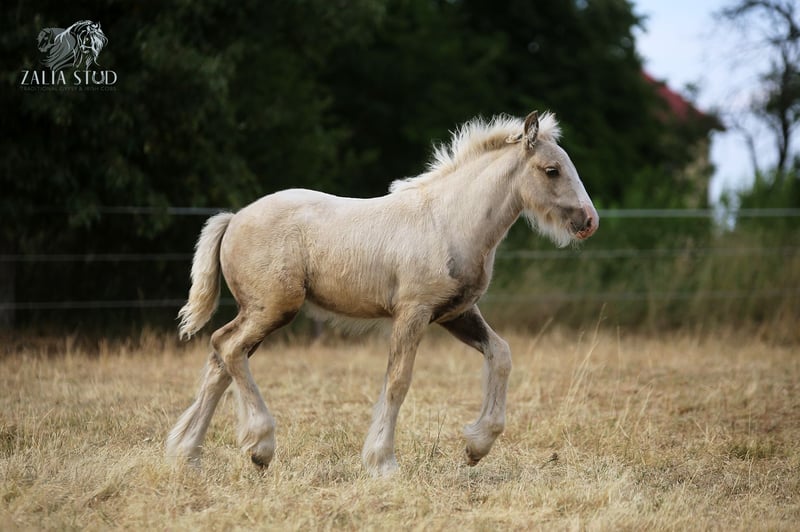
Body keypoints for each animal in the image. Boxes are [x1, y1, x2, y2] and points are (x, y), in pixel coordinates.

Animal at [166, 110, 599, 476]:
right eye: (552, 170)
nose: (589, 221)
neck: (450, 222)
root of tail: (234, 218)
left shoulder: (456, 313)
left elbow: (502, 354)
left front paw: (476, 446)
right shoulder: (413, 312)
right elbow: (398, 380)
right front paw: (383, 463)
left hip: (258, 310)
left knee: (221, 355)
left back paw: (188, 453)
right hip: (273, 308)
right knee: (229, 348)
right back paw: (259, 446)